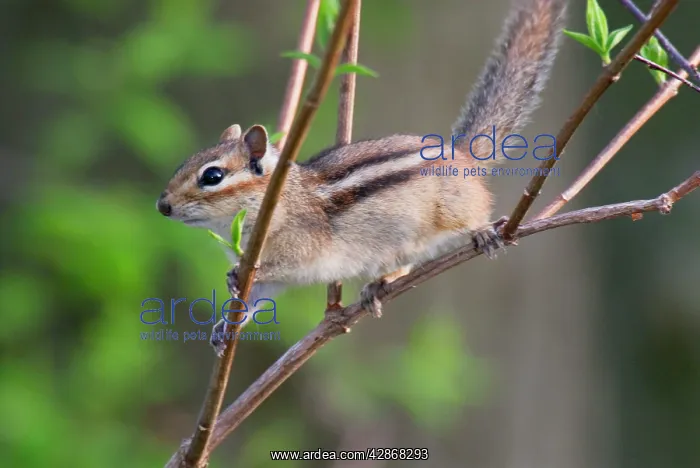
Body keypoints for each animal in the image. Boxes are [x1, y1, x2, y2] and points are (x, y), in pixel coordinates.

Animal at [156, 0, 567, 354]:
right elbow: (256, 297)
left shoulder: (302, 245)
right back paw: (375, 288)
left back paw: (483, 233)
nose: (163, 205)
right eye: (184, 165)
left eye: (212, 176)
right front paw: (224, 325)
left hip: (452, 210)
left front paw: (236, 273)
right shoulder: (273, 283)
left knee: (472, 217)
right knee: (403, 265)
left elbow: (277, 265)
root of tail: (461, 154)